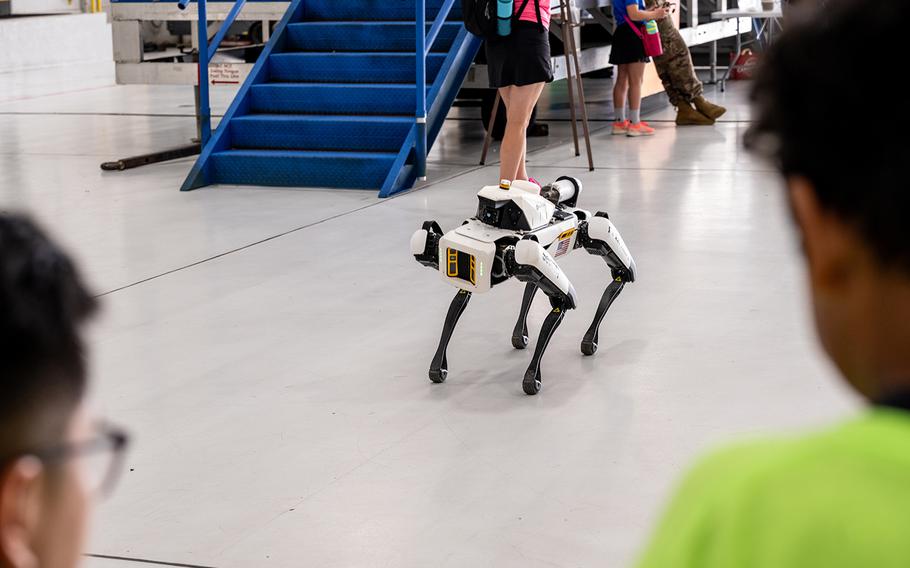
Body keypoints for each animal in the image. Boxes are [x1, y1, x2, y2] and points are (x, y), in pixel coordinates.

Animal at [412, 178, 636, 394]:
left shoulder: (527, 251)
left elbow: (563, 300)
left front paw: (531, 378)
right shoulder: (523, 257)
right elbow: (459, 301)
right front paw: (438, 367)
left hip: (581, 233)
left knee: (606, 239)